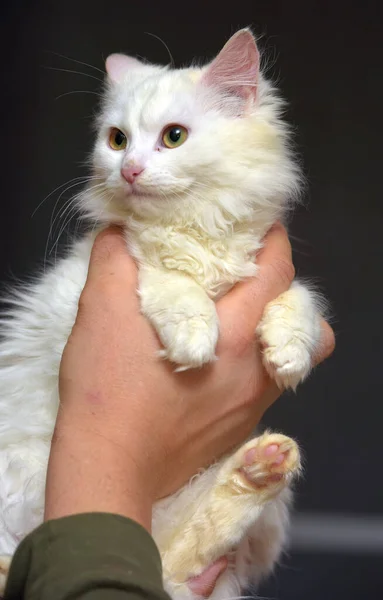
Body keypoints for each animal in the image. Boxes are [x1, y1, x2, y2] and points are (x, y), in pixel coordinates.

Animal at [0, 29, 324, 600]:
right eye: (117, 140)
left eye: (173, 138)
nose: (128, 169)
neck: (194, 226)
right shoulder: (88, 287)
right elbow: (166, 281)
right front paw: (195, 338)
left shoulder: (269, 268)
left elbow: (299, 299)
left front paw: (287, 351)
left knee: (175, 549)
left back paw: (263, 466)